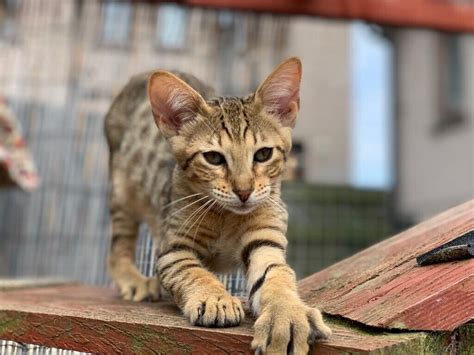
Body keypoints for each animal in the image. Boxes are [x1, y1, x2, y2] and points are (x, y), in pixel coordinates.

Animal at [105, 57, 332, 354]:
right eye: (213, 158)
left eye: (263, 154)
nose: (244, 191)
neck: (226, 217)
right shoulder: (174, 248)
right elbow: (193, 271)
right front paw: (215, 299)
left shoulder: (265, 238)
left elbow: (277, 275)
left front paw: (287, 315)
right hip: (121, 194)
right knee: (118, 246)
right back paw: (134, 281)